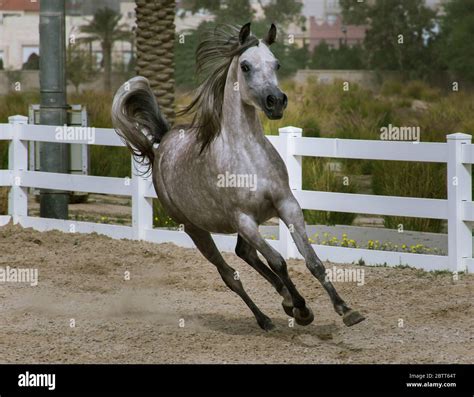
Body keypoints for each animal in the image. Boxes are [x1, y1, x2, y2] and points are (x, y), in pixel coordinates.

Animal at [113, 23, 364, 330]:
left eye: (276, 63)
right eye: (245, 66)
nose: (276, 102)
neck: (247, 156)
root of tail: (164, 143)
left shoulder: (287, 206)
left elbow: (311, 260)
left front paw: (345, 309)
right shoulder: (243, 219)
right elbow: (278, 261)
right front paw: (303, 310)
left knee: (245, 254)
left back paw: (285, 300)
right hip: (196, 230)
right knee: (230, 274)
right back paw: (266, 318)